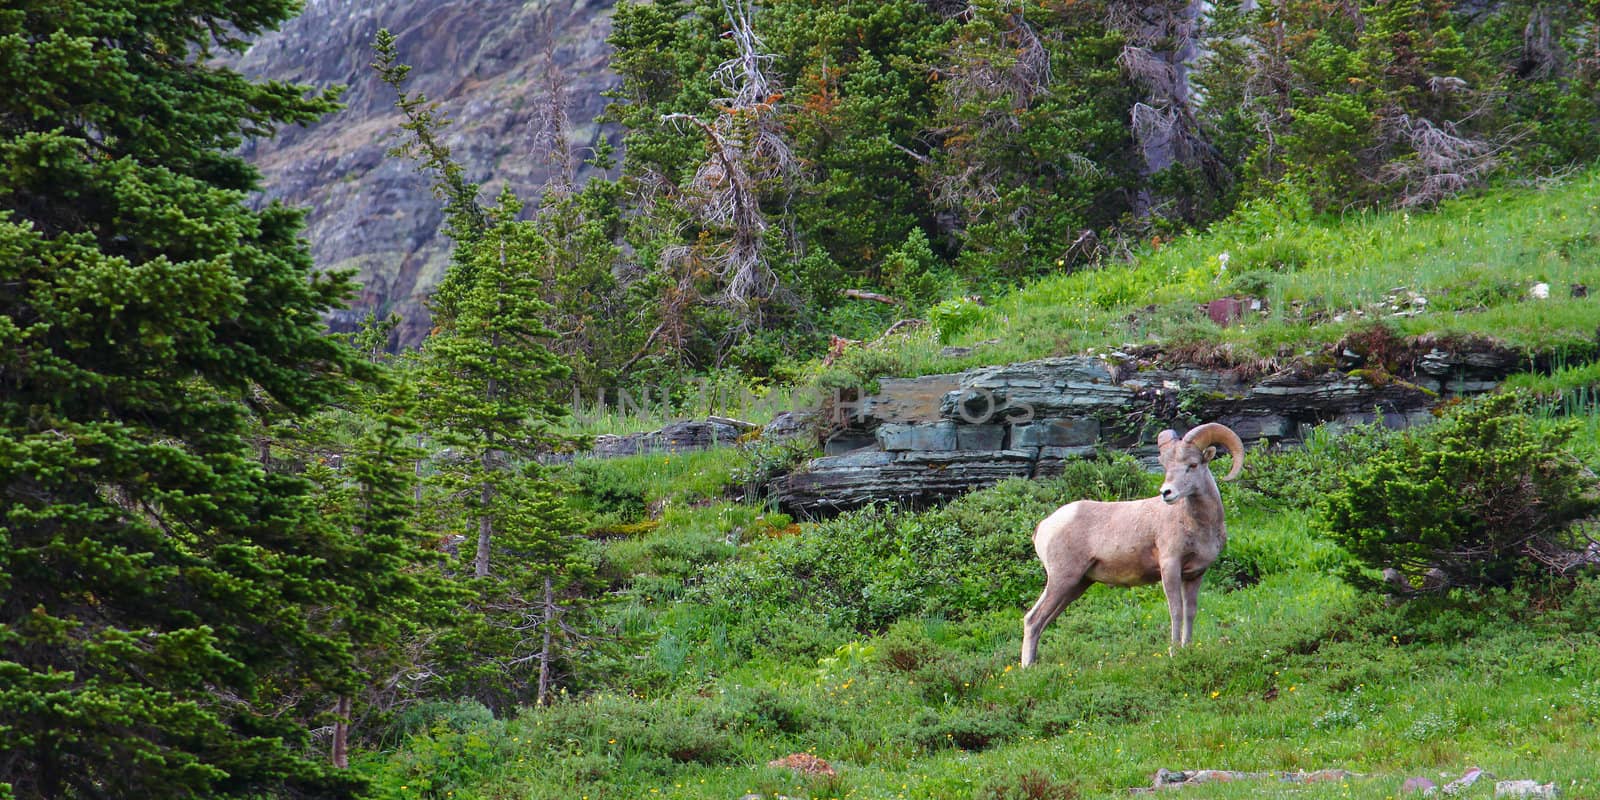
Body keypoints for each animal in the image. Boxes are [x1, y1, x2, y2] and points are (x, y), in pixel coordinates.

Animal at [1017, 422, 1241, 665]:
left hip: (1076, 585)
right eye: (1166, 466)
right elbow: (1176, 610)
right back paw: (1027, 667)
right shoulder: (1170, 567)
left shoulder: (1194, 575)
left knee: (1041, 621)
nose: (1166, 493)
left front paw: (1187, 649)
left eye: (1192, 464)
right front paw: (1174, 652)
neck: (1198, 524)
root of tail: (1044, 526)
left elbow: (1190, 611)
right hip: (1062, 580)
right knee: (1033, 619)